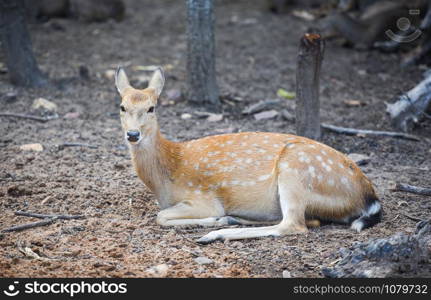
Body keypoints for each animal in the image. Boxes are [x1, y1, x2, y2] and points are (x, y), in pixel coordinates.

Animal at [114, 66, 382, 244]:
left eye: (152, 108)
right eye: (122, 106)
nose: (133, 134)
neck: (168, 173)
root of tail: (368, 196)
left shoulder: (203, 198)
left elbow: (161, 216)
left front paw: (215, 221)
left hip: (296, 169)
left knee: (294, 225)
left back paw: (215, 233)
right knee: (308, 220)